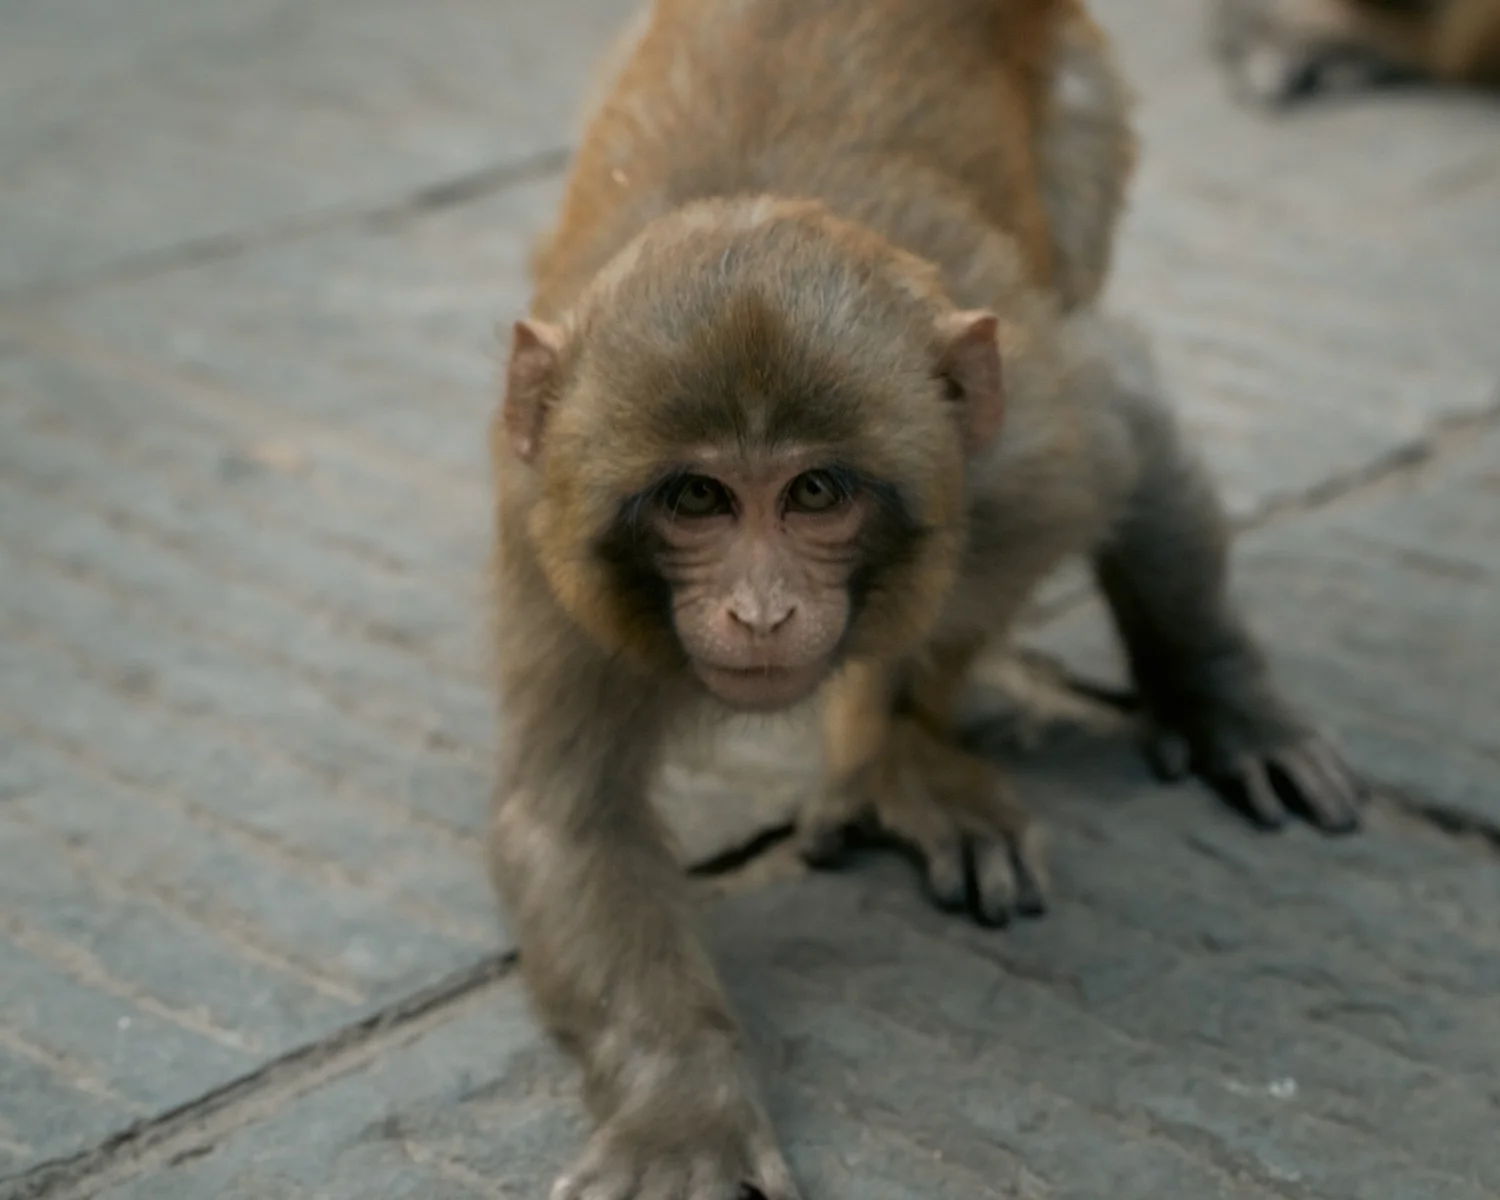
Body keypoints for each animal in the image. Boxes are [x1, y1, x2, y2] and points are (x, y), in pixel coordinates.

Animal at [487, 2, 1364, 1197]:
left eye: (814, 492)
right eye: (696, 498)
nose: (761, 612)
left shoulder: (1029, 435)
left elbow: (1127, 427)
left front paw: (1220, 699)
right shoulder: (550, 547)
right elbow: (574, 824)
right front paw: (680, 1108)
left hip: (1082, 124)